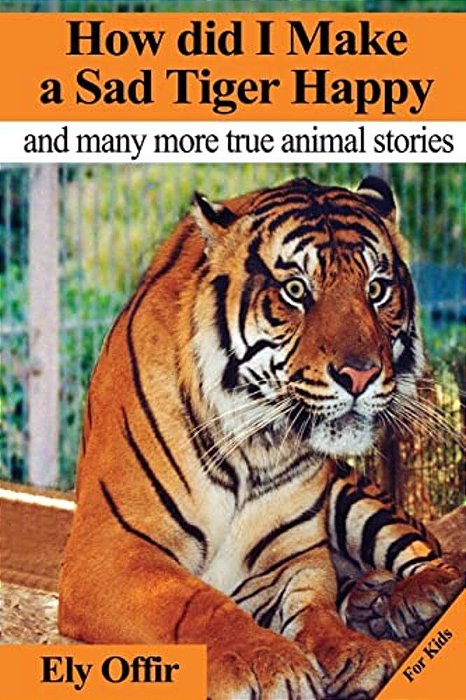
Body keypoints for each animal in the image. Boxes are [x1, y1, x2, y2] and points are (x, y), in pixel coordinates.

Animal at [59, 176, 463, 700]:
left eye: (376, 290)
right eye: (295, 290)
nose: (361, 374)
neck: (257, 447)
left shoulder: (293, 561)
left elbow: (317, 612)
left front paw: (357, 652)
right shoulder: (111, 551)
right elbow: (198, 604)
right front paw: (267, 663)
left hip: (354, 499)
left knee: (429, 553)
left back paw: (418, 596)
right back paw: (373, 602)